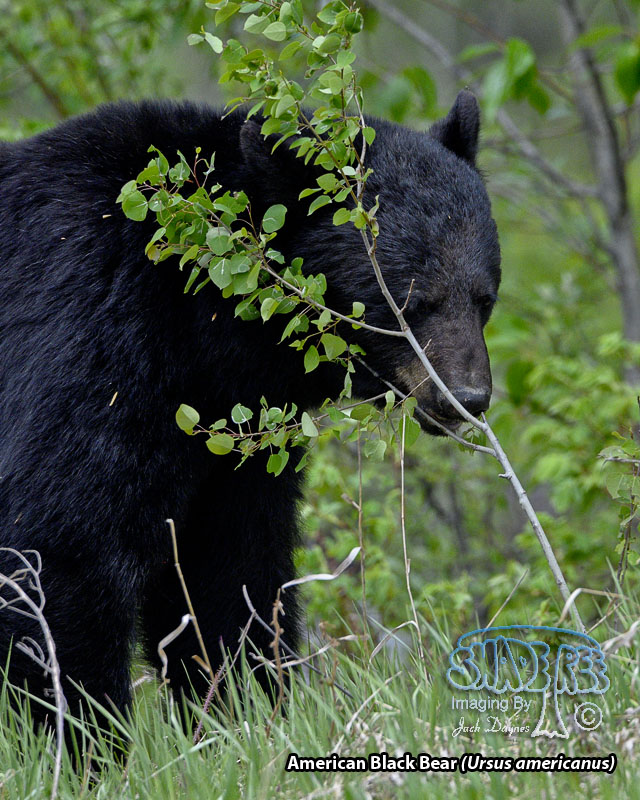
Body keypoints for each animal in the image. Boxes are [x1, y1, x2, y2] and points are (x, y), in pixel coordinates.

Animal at [0, 90, 500, 729]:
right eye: (410, 301)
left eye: (484, 298)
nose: (466, 397)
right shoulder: (90, 319)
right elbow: (60, 537)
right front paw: (80, 730)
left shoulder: (235, 433)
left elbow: (230, 567)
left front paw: (245, 705)